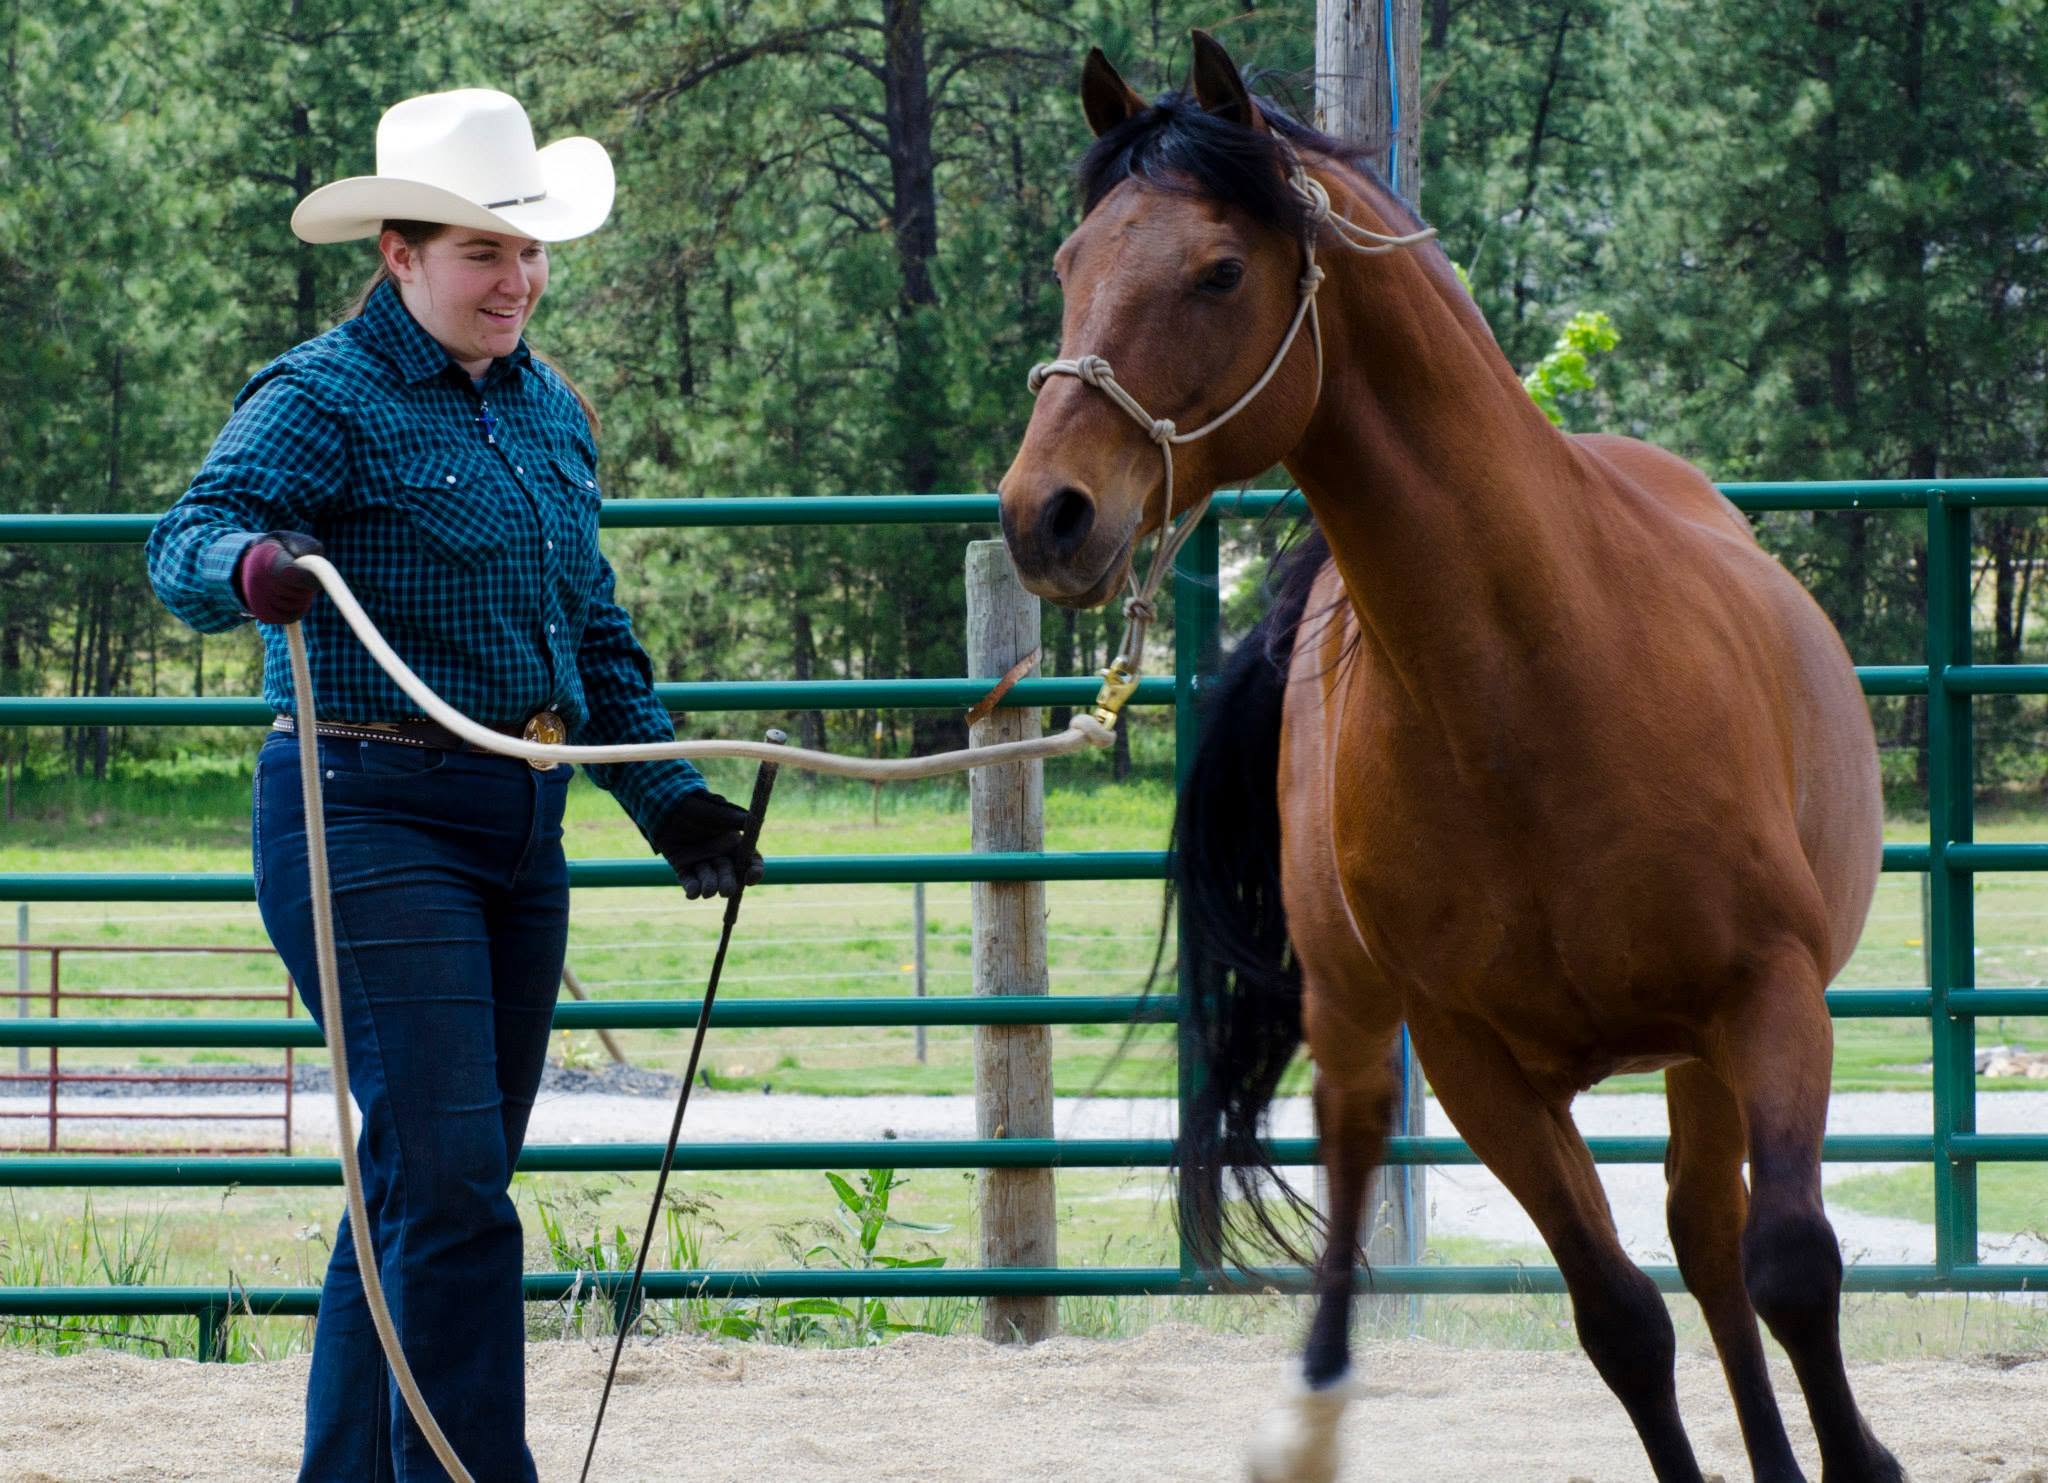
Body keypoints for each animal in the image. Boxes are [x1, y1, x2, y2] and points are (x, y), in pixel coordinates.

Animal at [997, 33, 1899, 1483]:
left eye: (1219, 269)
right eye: (1072, 260)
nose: (1047, 513)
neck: (1537, 680)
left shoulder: (1767, 999)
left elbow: (1792, 1267)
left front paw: (1857, 1457)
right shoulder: (1475, 1063)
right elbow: (1619, 1318)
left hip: (1700, 1051)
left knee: (1714, 1239)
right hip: (1360, 1014)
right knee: (1382, 1154)